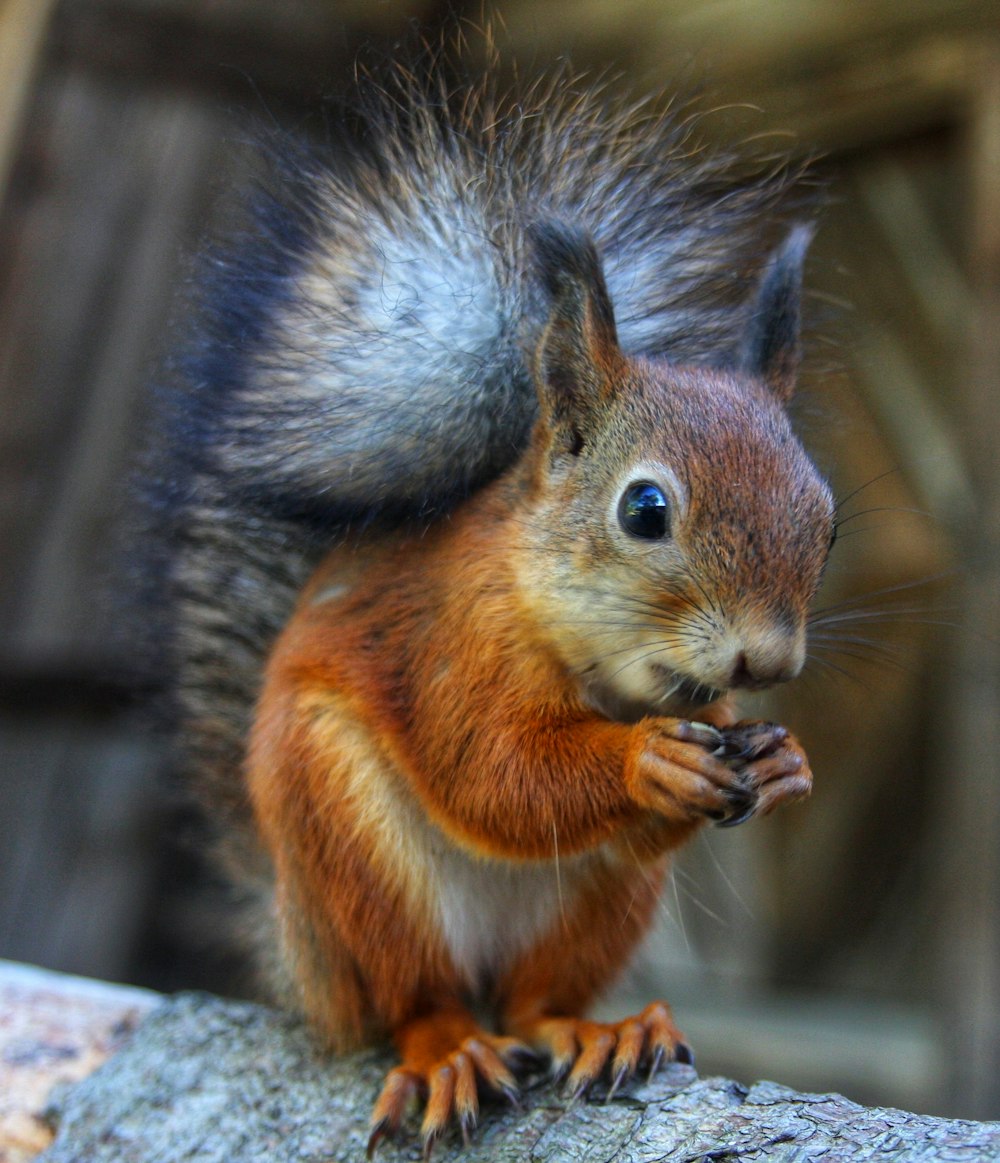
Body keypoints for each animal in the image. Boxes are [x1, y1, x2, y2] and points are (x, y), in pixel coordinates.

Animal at [138, 45, 827, 1153]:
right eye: (644, 508)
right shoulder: (450, 645)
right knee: (417, 999)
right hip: (346, 839)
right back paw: (447, 1052)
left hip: (600, 901)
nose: (768, 661)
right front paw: (643, 761)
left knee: (535, 998)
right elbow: (490, 771)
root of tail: (299, 954)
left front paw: (782, 760)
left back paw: (597, 1030)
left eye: (827, 514)